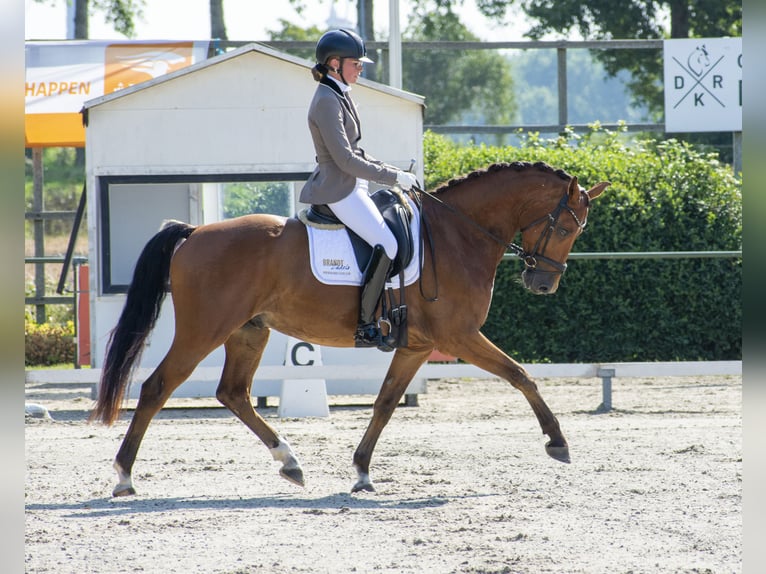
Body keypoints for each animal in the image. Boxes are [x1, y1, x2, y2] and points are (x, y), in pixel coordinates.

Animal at [91, 161, 610, 496]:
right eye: (568, 228)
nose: (542, 284)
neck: (456, 234)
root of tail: (195, 232)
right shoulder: (459, 336)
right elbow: (522, 375)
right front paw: (557, 442)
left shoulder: (417, 346)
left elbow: (385, 403)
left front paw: (361, 472)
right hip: (205, 330)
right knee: (159, 386)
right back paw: (123, 476)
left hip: (249, 331)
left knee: (233, 392)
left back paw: (290, 462)